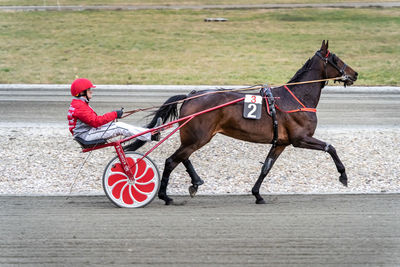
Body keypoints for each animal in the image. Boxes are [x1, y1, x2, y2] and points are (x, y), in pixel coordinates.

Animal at [126, 40, 360, 205]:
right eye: (337, 59)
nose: (355, 74)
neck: (296, 98)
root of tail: (191, 95)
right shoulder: (300, 139)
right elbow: (330, 147)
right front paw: (343, 176)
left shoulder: (281, 143)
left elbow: (266, 168)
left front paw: (257, 194)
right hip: (198, 137)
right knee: (171, 161)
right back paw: (165, 196)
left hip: (194, 137)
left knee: (182, 157)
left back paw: (195, 182)